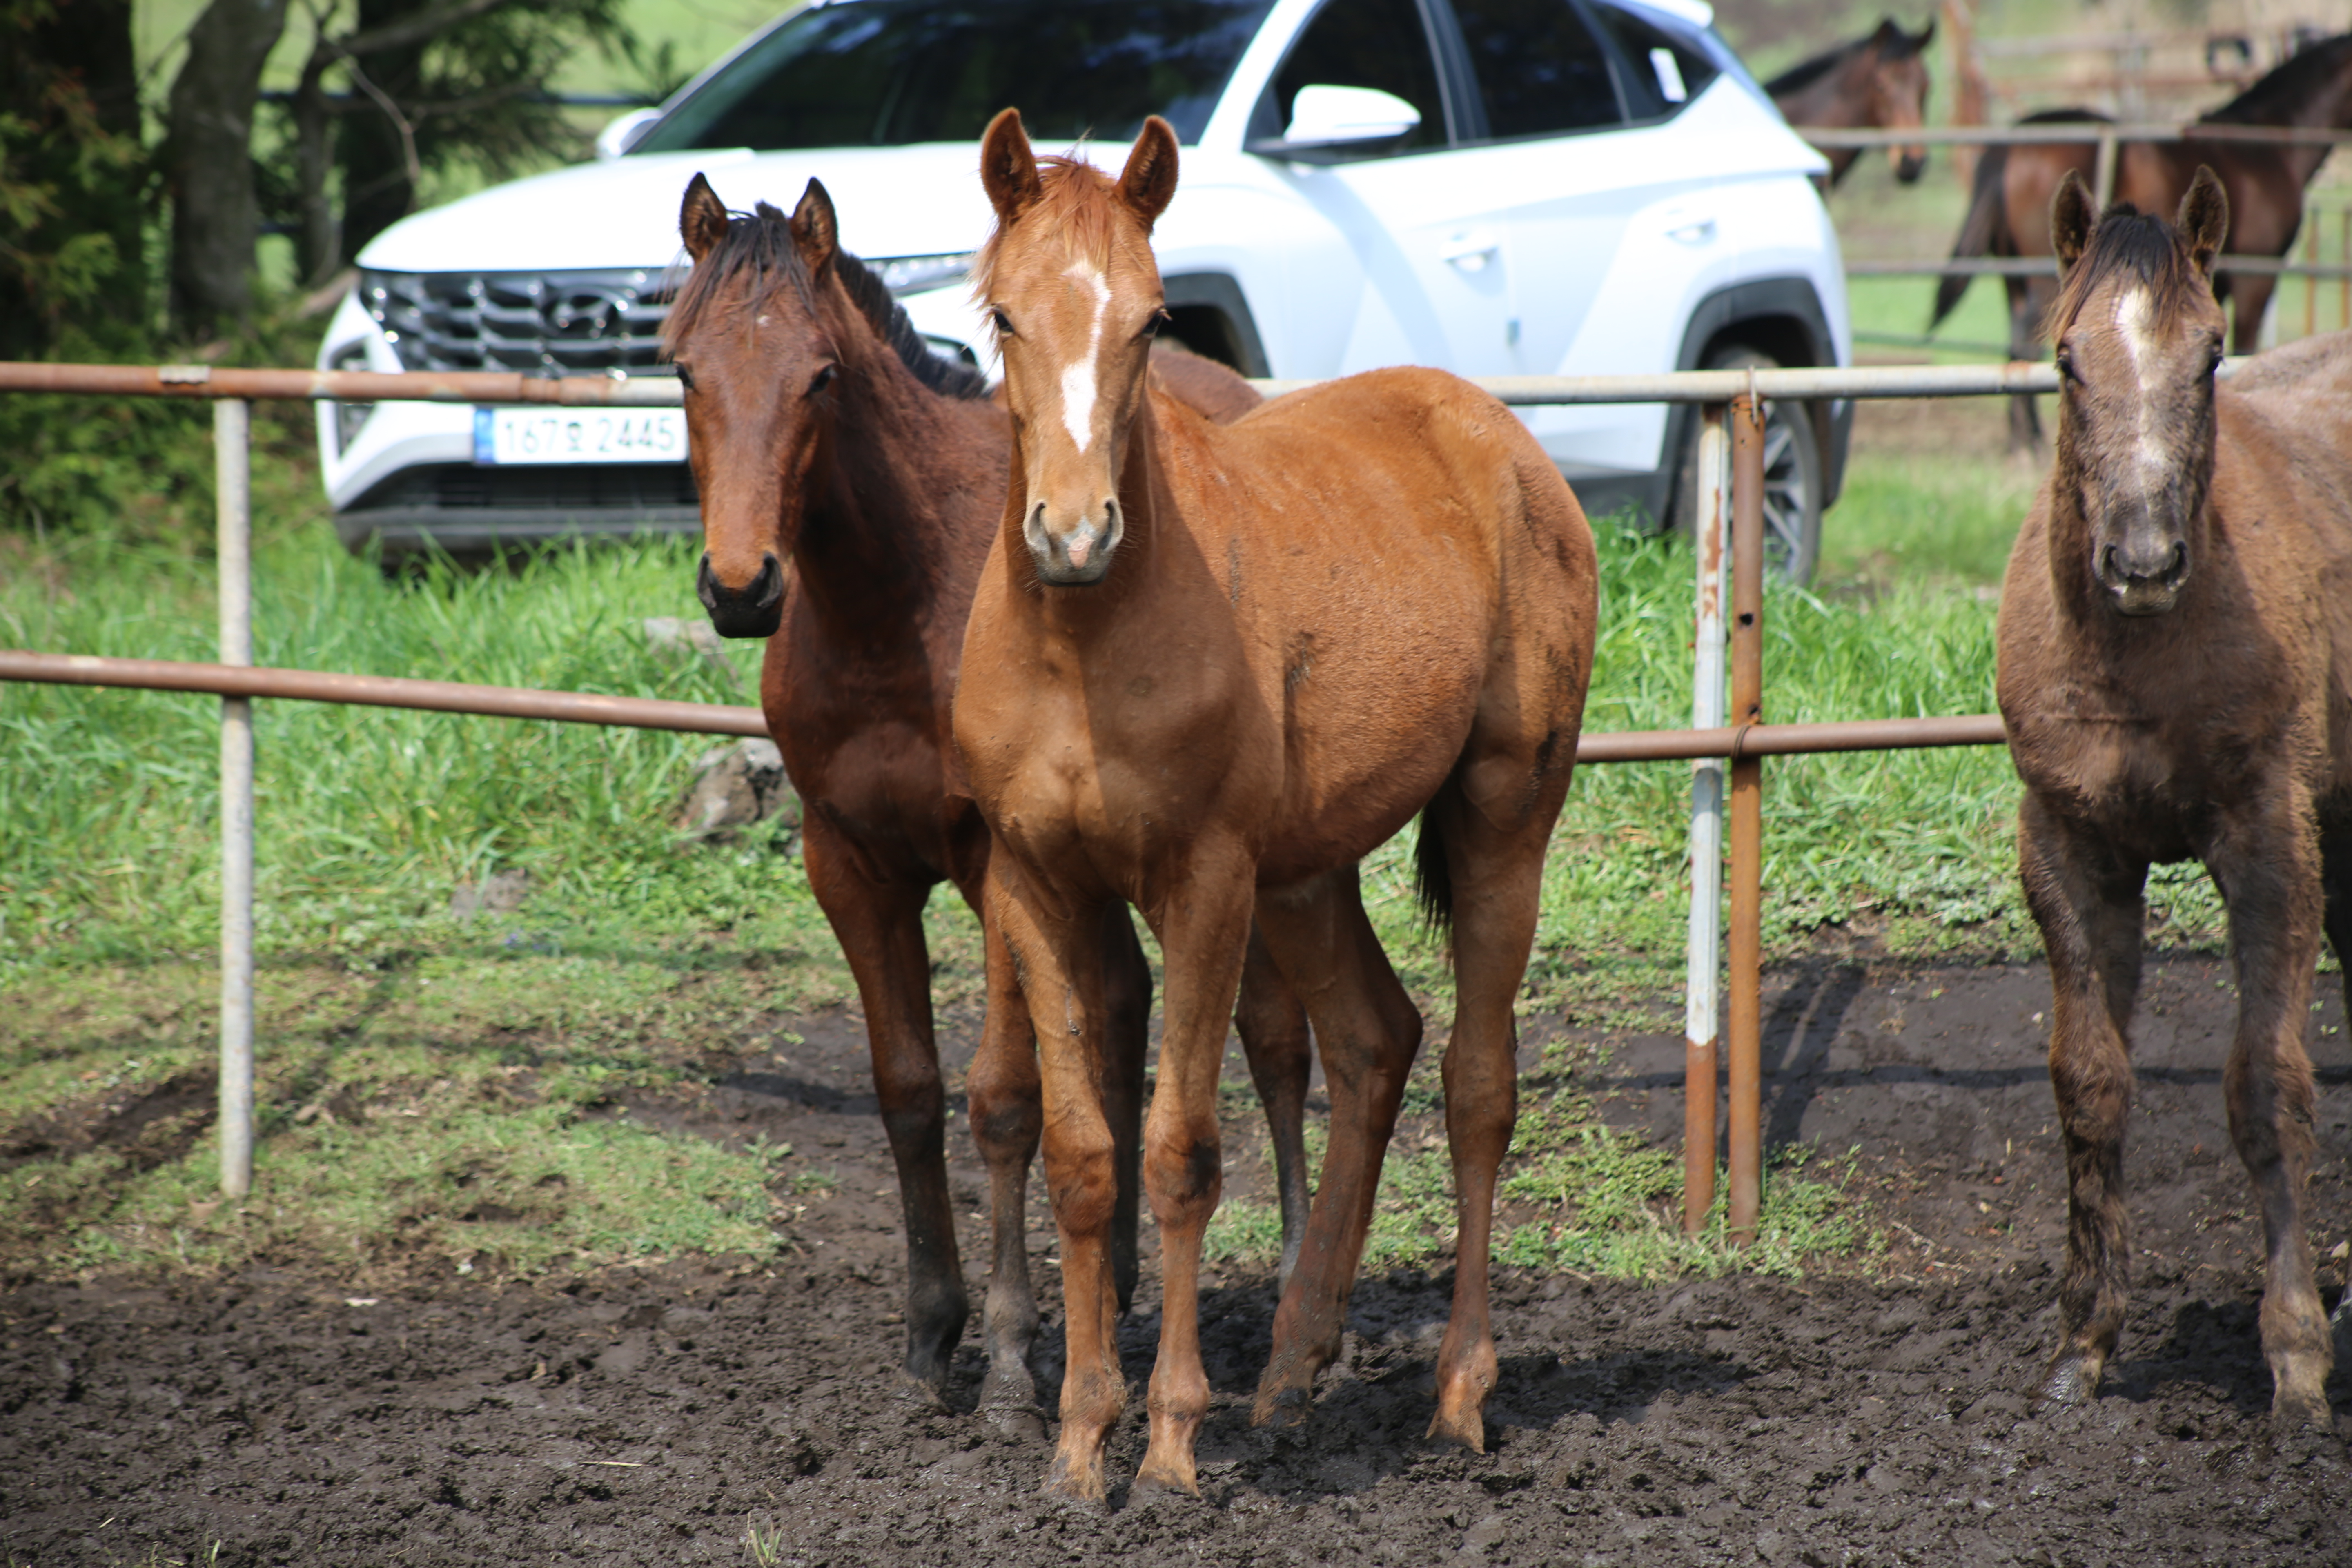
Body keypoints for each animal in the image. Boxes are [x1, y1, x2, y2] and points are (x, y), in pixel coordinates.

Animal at [668, 177, 1326, 1420]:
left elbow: (1004, 1095)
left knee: (1268, 1038)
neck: (894, 602)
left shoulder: (990, 860)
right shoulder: (850, 863)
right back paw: (1115, 1286)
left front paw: (1019, 1356)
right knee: (1120, 1007)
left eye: (819, 375)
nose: (740, 586)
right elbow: (910, 1088)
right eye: (681, 368)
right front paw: (935, 1332)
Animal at [955, 110, 1599, 1495]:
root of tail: (1507, 442)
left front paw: (1168, 1442)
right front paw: (1079, 1440)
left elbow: (1182, 1154)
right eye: (1003, 317)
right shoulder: (1034, 884)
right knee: (1373, 1042)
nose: (1075, 534)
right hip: (1308, 874)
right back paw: (1294, 1370)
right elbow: (1086, 1160)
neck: (1085, 643)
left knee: (1478, 1085)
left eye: (1152, 321)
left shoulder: (1204, 882)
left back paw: (1456, 1394)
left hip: (1502, 824)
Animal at [1929, 33, 2352, 446]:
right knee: (2024, 343)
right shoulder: (2256, 276)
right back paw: (2027, 441)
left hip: (2013, 275)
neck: (2267, 147)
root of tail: (2013, 141)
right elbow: (2246, 348)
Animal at [1994, 165, 2352, 1429]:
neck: (2139, 659)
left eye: (2206, 358)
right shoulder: (2069, 848)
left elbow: (2266, 1087)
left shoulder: (2268, 845)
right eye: (2064, 359)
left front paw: (2294, 1357)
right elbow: (2090, 1083)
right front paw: (2082, 1345)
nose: (2141, 560)